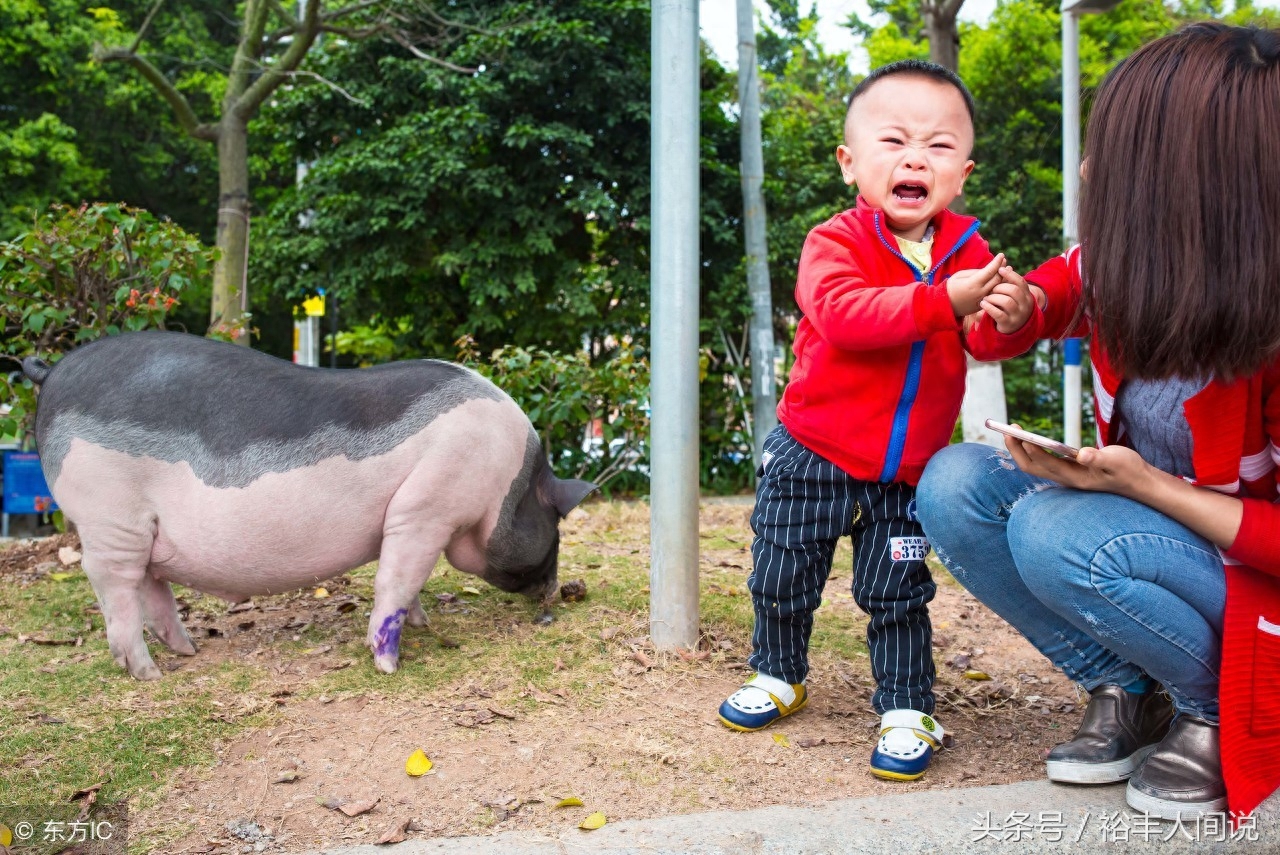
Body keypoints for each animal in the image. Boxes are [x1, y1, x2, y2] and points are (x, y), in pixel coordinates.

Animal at [23, 330, 593, 675]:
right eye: (556, 524)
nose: (554, 592)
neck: (506, 477)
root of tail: (51, 372)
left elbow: (411, 579)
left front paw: (425, 625)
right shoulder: (427, 506)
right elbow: (396, 576)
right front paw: (389, 665)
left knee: (149, 583)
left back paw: (188, 650)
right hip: (106, 514)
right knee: (113, 583)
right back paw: (150, 674)